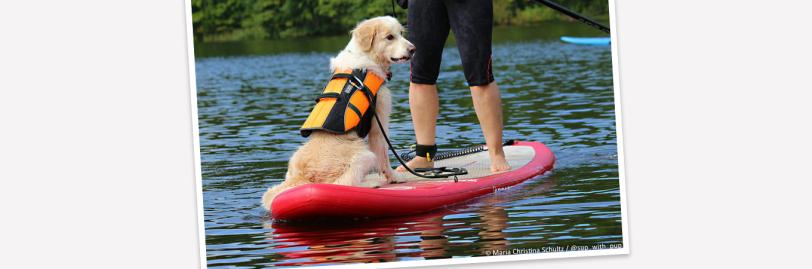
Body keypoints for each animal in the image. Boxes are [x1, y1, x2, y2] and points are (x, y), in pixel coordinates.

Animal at [262, 16, 416, 209]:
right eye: (389, 37)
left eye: (401, 33)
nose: (413, 49)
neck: (366, 59)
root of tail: (304, 176)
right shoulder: (379, 123)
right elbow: (384, 157)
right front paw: (394, 177)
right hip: (364, 155)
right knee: (344, 183)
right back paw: (371, 183)